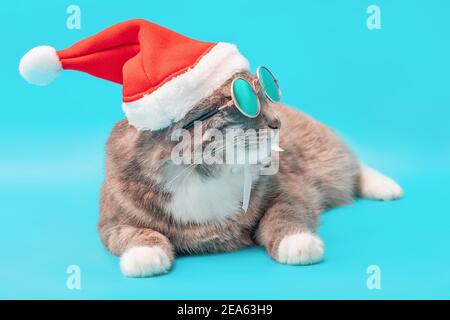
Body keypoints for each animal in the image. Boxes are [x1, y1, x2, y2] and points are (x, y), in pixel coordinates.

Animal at [97, 71, 400, 276]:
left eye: (266, 97)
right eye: (244, 103)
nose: (277, 122)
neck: (202, 174)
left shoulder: (288, 192)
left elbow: (283, 215)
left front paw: (298, 242)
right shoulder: (112, 221)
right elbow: (135, 233)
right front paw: (144, 254)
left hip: (328, 159)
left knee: (354, 168)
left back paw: (385, 186)